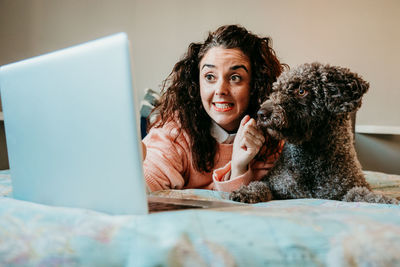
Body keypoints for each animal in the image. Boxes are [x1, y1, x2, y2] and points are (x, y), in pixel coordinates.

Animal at [230, 62, 398, 205]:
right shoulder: (274, 183)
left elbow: (362, 194)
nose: (261, 113)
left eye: (301, 90)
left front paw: (386, 200)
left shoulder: (351, 187)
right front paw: (246, 192)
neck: (312, 155)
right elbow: (259, 185)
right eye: (275, 90)